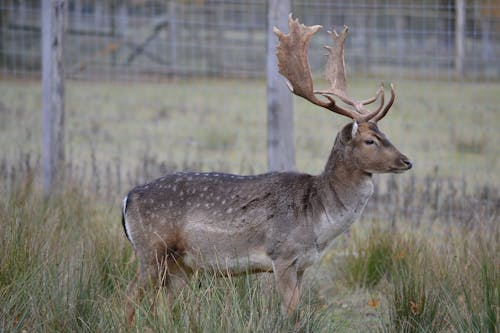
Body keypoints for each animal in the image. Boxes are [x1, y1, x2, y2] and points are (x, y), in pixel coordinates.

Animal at [121, 14, 410, 322]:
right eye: (370, 140)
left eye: (384, 133)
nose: (407, 161)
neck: (316, 219)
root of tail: (127, 198)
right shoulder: (281, 255)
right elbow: (290, 313)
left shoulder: (302, 264)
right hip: (151, 250)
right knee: (128, 298)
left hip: (180, 265)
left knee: (160, 307)